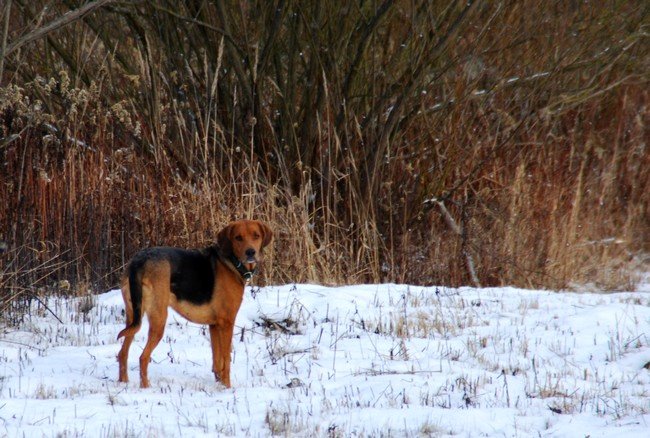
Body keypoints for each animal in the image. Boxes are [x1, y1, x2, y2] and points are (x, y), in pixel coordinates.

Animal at [116, 221, 270, 388]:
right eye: (238, 237)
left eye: (256, 236)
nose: (250, 252)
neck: (231, 263)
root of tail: (139, 261)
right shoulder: (227, 324)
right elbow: (226, 361)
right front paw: (228, 388)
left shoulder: (214, 325)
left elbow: (217, 362)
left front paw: (219, 386)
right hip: (158, 320)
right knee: (143, 357)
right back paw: (146, 387)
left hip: (133, 316)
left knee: (122, 353)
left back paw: (123, 383)